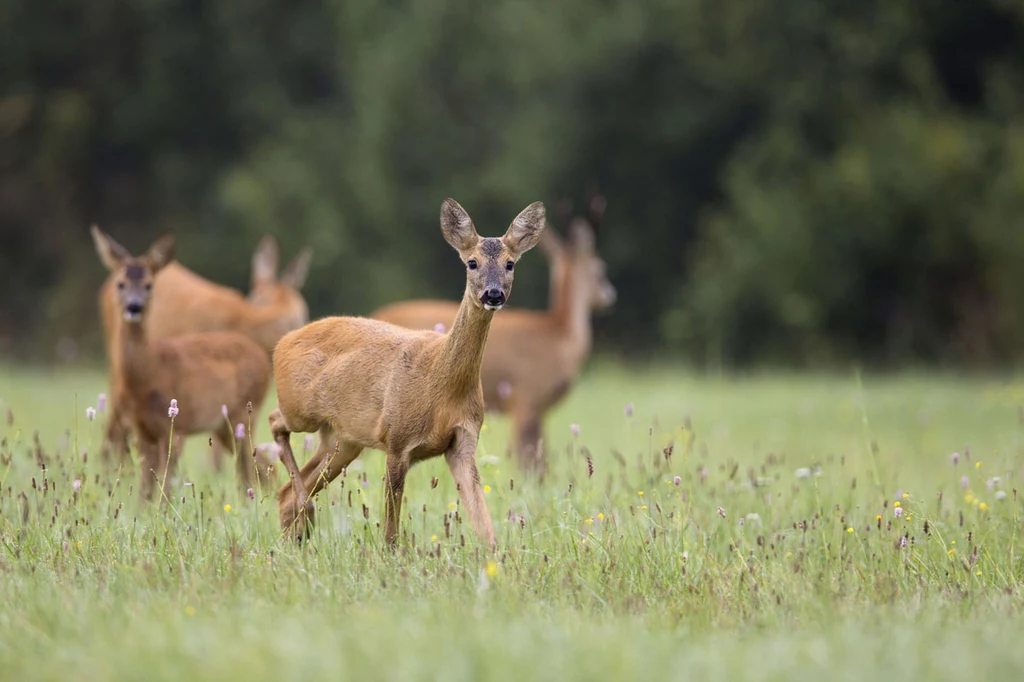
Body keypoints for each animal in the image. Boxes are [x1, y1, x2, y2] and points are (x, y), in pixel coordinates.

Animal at [90, 225, 274, 497]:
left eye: (149, 285)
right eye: (120, 284)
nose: (134, 307)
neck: (149, 373)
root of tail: (261, 353)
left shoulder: (176, 428)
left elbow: (165, 486)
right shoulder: (143, 430)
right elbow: (145, 490)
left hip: (243, 412)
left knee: (250, 469)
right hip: (224, 427)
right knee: (261, 465)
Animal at [268, 197, 548, 548]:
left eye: (510, 264)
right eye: (472, 262)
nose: (494, 294)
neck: (441, 382)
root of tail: (281, 343)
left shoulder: (464, 441)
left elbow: (485, 527)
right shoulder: (397, 439)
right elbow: (390, 532)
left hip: (342, 439)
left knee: (286, 492)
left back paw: (297, 534)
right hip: (301, 412)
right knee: (274, 422)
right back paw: (304, 518)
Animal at [374, 193, 618, 475]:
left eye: (510, 264)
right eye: (601, 269)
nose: (610, 295)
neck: (559, 336)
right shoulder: (526, 394)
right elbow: (528, 459)